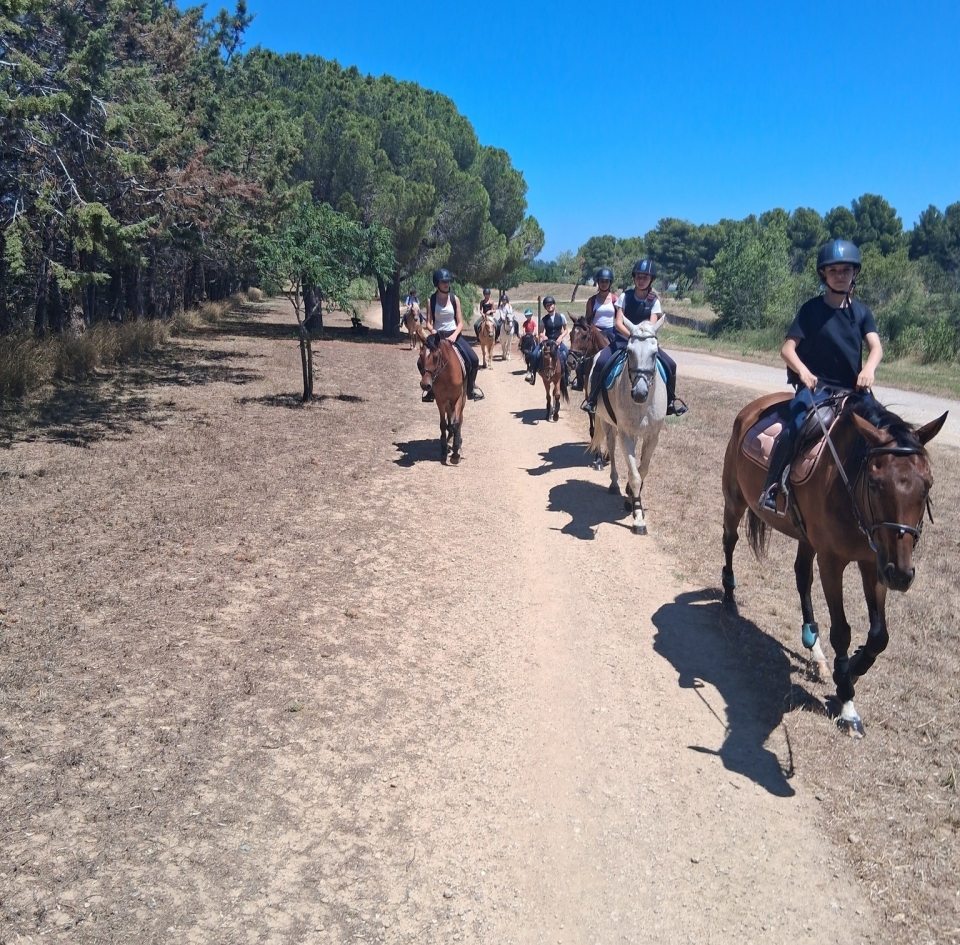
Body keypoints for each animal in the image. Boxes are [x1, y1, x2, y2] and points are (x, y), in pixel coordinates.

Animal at [419, 335, 467, 465]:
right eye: (420, 355)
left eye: (436, 357)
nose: (425, 385)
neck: (447, 375)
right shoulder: (440, 400)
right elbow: (443, 425)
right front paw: (444, 451)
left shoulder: (458, 398)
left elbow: (456, 423)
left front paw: (455, 454)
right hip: (447, 402)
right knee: (449, 416)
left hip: (461, 399)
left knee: (459, 419)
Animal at [588, 319, 666, 535]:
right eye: (629, 352)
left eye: (655, 353)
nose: (639, 393)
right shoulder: (625, 435)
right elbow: (635, 474)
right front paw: (638, 517)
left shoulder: (653, 436)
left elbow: (643, 469)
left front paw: (632, 498)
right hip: (606, 423)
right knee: (611, 449)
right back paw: (614, 484)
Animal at [721, 391, 947, 737]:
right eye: (874, 483)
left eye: (928, 485)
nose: (901, 575)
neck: (846, 483)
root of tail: (754, 407)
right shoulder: (832, 561)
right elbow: (841, 631)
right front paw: (847, 703)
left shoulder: (875, 561)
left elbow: (879, 636)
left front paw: (851, 669)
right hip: (735, 500)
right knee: (729, 541)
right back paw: (729, 596)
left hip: (806, 537)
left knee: (801, 576)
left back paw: (815, 650)